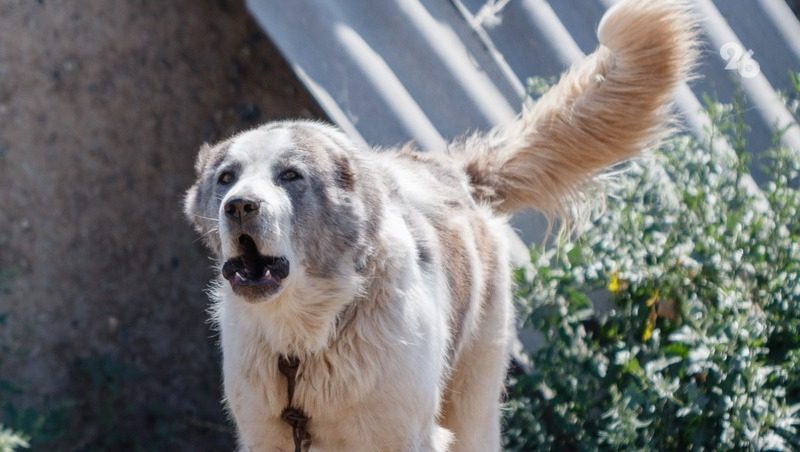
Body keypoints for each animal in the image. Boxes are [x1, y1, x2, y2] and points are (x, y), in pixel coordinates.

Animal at [183, 1, 692, 450]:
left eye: (290, 175)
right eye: (226, 178)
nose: (240, 205)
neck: (308, 340)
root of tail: (457, 172)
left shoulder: (402, 435)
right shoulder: (266, 435)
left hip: (473, 402)